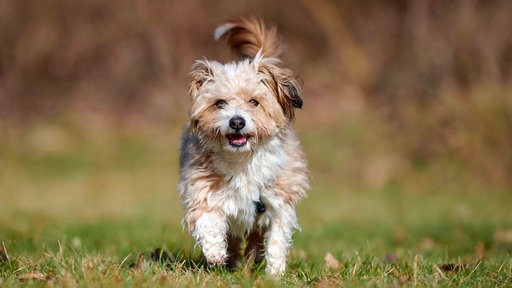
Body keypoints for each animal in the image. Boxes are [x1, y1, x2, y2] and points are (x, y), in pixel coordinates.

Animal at [180, 16, 308, 276]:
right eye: (220, 103)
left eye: (254, 102)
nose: (237, 121)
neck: (242, 160)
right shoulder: (202, 189)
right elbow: (208, 219)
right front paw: (216, 253)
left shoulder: (279, 200)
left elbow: (277, 238)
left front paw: (275, 273)